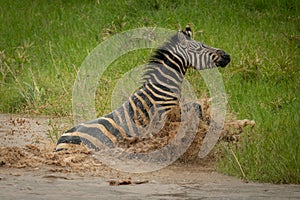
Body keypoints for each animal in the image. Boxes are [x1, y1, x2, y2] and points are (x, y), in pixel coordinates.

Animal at [55, 25, 230, 152]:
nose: (227, 56)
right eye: (201, 48)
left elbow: (198, 107)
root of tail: (60, 140)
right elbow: (194, 109)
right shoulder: (166, 114)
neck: (161, 89)